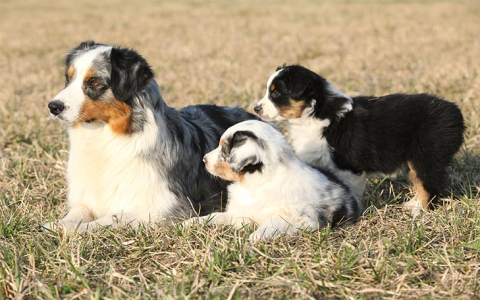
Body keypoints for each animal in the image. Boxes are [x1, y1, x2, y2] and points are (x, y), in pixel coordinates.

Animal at [43, 40, 256, 232]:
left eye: (94, 82)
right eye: (68, 78)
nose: (53, 107)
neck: (107, 138)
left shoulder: (168, 208)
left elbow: (112, 217)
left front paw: (80, 228)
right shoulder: (84, 199)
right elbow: (74, 215)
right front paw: (57, 225)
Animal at [182, 120, 362, 243]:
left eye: (224, 150)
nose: (204, 160)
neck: (256, 185)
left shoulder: (302, 219)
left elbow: (273, 222)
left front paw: (256, 237)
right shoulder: (241, 214)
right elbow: (216, 216)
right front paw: (190, 223)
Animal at [253, 65, 464, 213]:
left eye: (276, 93)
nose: (256, 108)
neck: (314, 113)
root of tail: (456, 113)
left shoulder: (347, 167)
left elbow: (350, 190)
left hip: (425, 154)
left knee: (430, 183)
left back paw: (419, 211)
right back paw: (412, 204)